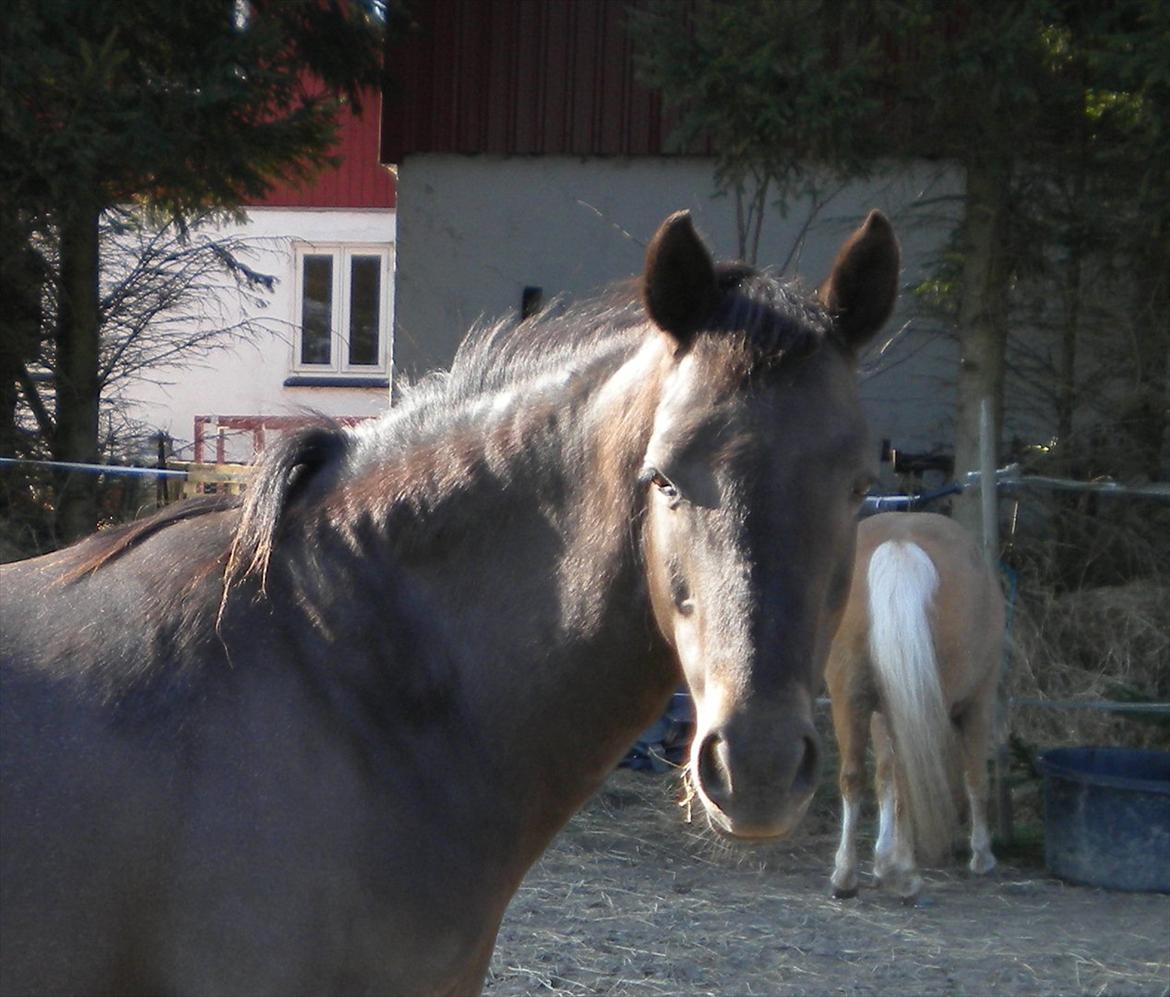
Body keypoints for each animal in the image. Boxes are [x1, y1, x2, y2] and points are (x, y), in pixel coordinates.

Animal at [825, 511, 1005, 904]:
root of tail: (899, 543)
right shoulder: (980, 700)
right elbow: (976, 777)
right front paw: (982, 855)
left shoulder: (883, 709)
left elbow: (884, 777)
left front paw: (882, 862)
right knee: (911, 774)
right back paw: (908, 877)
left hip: (850, 697)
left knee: (853, 775)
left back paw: (845, 877)